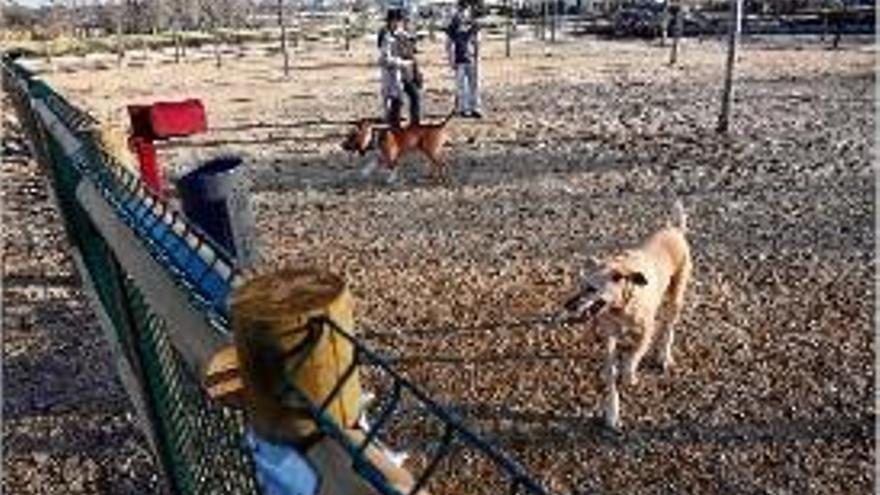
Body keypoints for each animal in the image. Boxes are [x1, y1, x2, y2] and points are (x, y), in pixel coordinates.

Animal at [564, 201, 696, 430]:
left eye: (591, 289)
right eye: (580, 285)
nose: (568, 305)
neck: (622, 305)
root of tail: (675, 229)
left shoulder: (646, 332)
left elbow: (634, 356)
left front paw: (630, 375)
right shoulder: (609, 337)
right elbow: (611, 373)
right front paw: (612, 412)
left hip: (677, 295)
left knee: (669, 326)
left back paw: (664, 356)